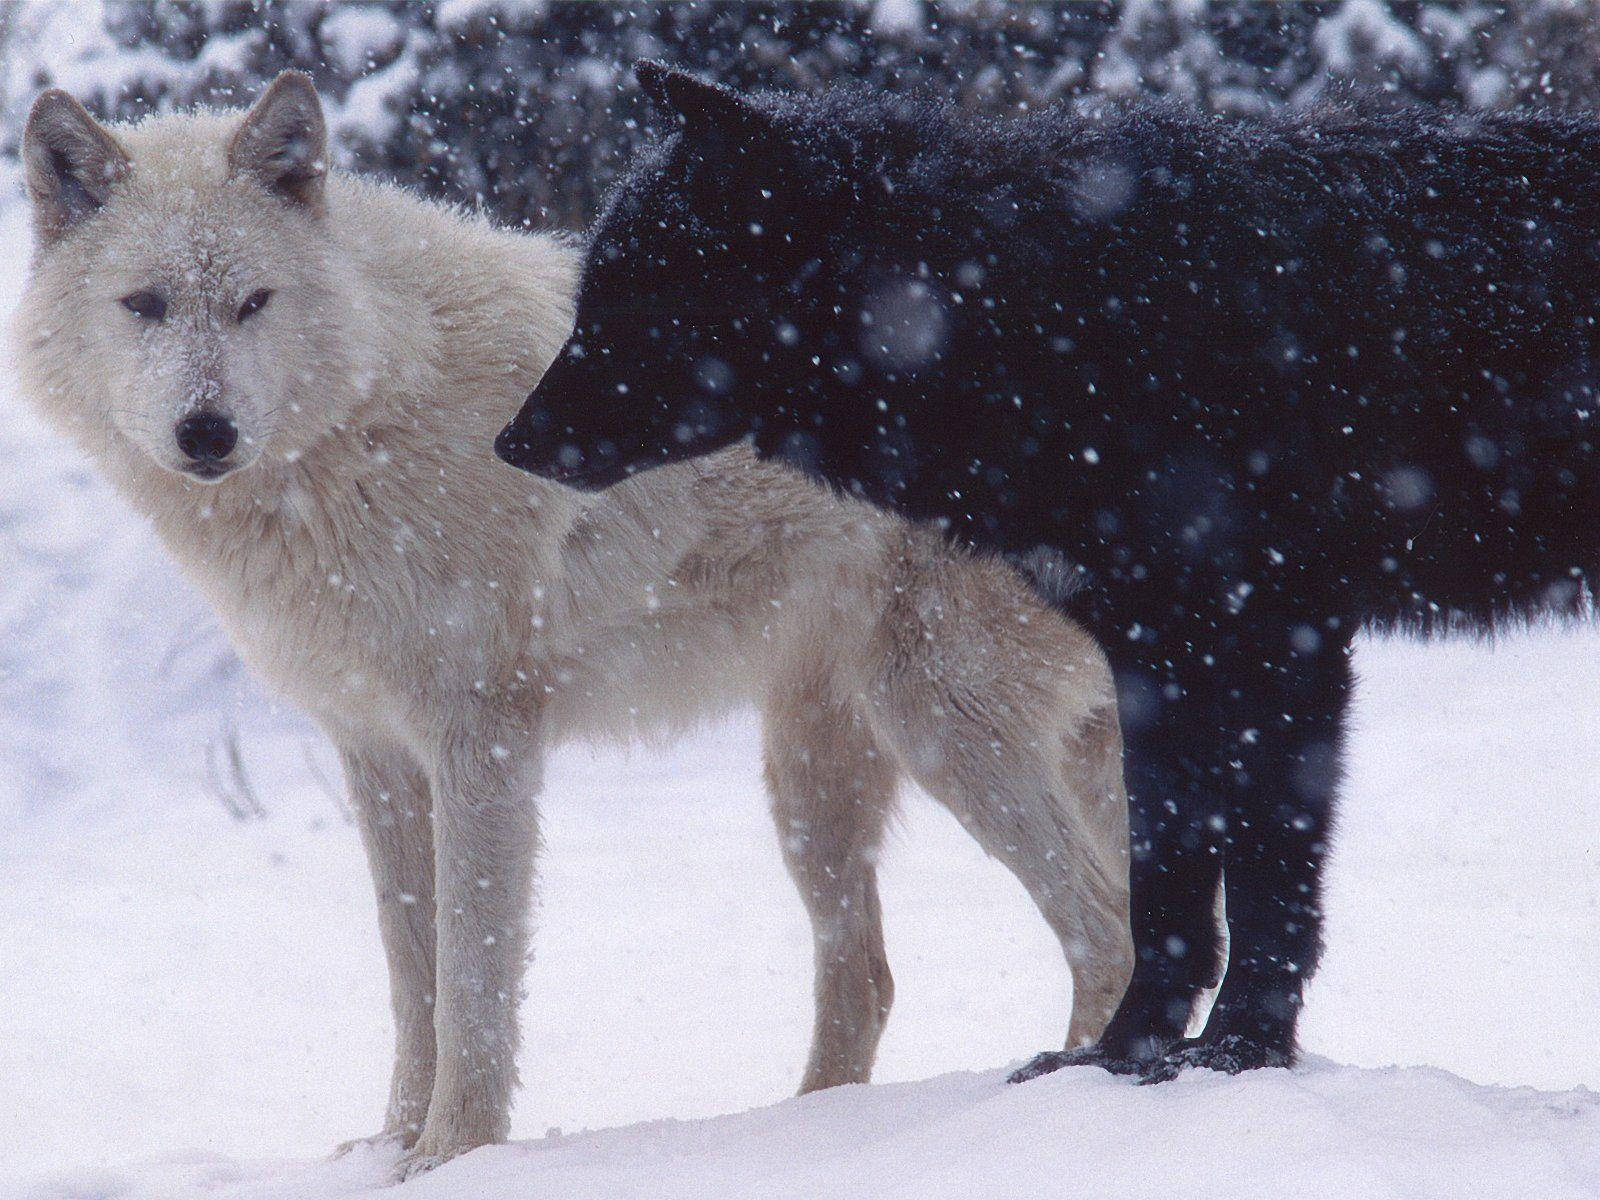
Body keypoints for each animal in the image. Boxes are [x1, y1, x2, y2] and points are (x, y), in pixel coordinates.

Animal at [15, 72, 1139, 1177]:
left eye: (253, 303)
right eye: (144, 305)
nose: (206, 432)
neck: (367, 416)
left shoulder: (482, 736)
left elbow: (471, 978)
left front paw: (451, 1155)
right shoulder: (375, 752)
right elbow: (410, 974)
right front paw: (386, 1148)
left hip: (942, 729)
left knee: (1104, 936)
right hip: (818, 781)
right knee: (874, 974)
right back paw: (813, 1132)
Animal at [499, 61, 1600, 1088]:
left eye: (636, 295)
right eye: (590, 296)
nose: (508, 445)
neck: (1052, 309)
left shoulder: (1275, 641)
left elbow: (1263, 884)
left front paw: (1238, 1052)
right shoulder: (1157, 656)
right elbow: (1166, 888)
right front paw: (1121, 1060)